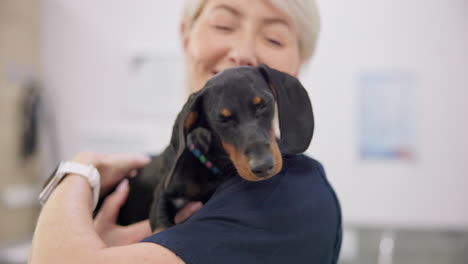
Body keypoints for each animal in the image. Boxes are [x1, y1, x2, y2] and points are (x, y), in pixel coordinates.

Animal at [114, 64, 314, 231]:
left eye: (263, 104)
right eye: (223, 120)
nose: (263, 167)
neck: (209, 167)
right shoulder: (162, 193)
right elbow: (161, 226)